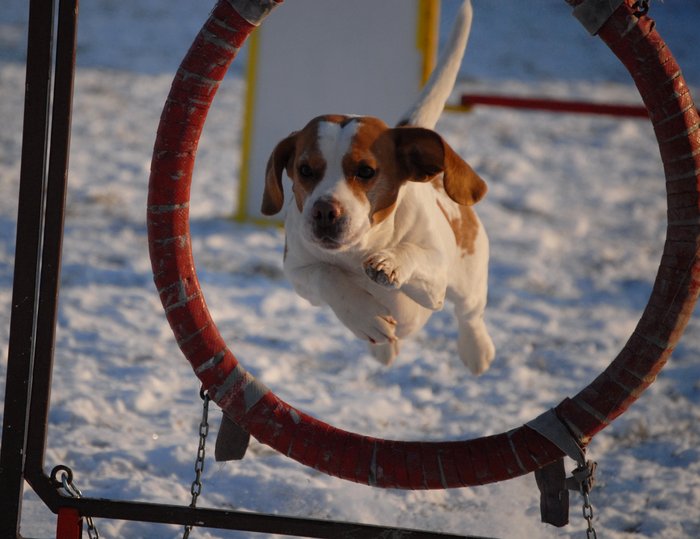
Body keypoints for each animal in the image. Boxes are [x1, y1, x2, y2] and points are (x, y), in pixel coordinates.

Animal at [260, 0, 494, 374]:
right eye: (305, 169)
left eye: (366, 171)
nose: (325, 212)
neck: (359, 249)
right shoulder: (298, 272)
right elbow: (326, 276)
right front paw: (366, 316)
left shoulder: (435, 282)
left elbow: (414, 254)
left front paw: (390, 262)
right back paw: (384, 348)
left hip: (468, 276)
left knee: (470, 313)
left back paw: (476, 350)